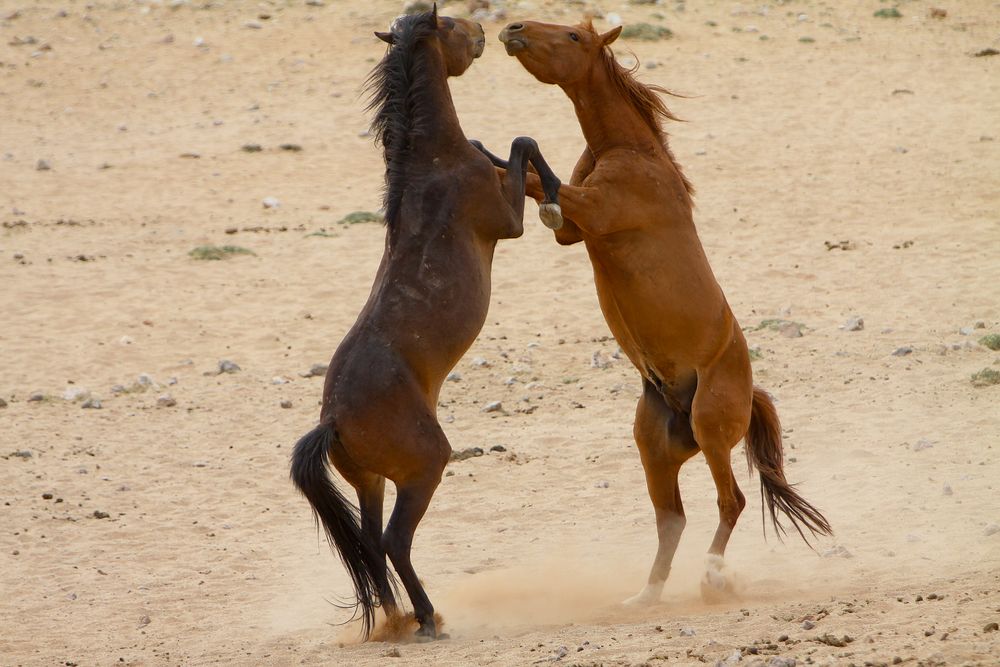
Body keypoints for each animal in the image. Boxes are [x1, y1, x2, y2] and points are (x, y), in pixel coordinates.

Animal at [292, 6, 564, 640]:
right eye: (456, 24)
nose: (488, 32)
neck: (434, 166)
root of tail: (332, 420)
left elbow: (507, 145)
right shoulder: (507, 221)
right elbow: (523, 143)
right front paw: (556, 195)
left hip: (368, 482)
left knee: (368, 543)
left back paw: (394, 618)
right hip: (423, 470)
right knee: (395, 540)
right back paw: (427, 616)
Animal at [496, 19, 832, 604]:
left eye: (573, 37)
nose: (514, 28)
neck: (632, 150)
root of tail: (748, 392)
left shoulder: (596, 209)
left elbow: (544, 176)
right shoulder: (573, 232)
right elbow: (539, 180)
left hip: (711, 430)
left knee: (730, 502)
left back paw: (712, 577)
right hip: (655, 447)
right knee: (671, 518)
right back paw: (646, 595)